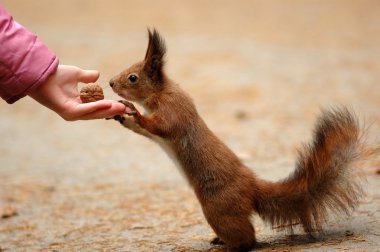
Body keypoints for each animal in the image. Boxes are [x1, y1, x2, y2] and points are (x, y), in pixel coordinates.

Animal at [108, 29, 364, 250]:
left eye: (133, 77)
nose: (110, 82)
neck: (159, 93)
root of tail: (252, 186)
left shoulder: (174, 110)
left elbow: (160, 125)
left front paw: (133, 111)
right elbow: (145, 131)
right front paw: (122, 116)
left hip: (217, 207)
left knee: (247, 239)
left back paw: (230, 246)